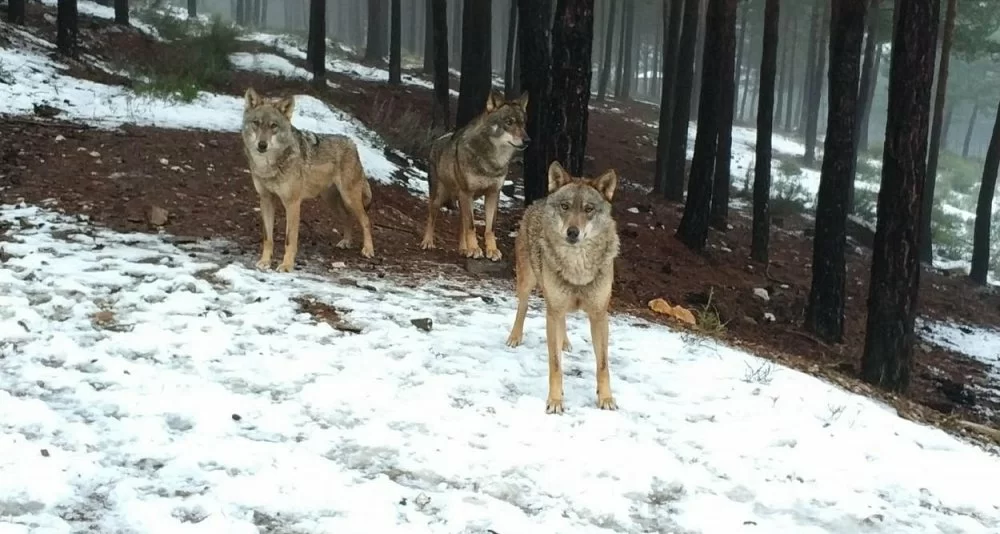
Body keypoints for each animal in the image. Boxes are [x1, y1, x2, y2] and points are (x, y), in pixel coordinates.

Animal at [240, 88, 374, 274]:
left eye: (273, 126)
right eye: (256, 123)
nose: (262, 145)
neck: (268, 166)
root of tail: (353, 144)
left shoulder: (293, 203)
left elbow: (290, 240)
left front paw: (287, 266)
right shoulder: (266, 200)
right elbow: (268, 238)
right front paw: (265, 261)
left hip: (350, 198)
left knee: (366, 220)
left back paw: (368, 249)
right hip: (331, 202)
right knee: (347, 218)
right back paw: (346, 242)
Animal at [418, 89, 532, 262]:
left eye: (523, 123)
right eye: (509, 122)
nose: (527, 140)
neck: (493, 161)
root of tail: (438, 139)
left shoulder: (492, 194)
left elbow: (489, 228)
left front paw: (491, 250)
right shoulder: (467, 193)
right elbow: (471, 226)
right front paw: (474, 249)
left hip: (464, 199)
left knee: (462, 224)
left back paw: (463, 249)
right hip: (440, 197)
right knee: (432, 216)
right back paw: (428, 242)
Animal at [504, 161, 620, 416]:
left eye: (588, 209)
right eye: (565, 207)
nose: (572, 232)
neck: (577, 268)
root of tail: (538, 201)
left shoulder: (599, 315)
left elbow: (603, 365)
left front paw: (606, 398)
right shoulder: (554, 311)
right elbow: (555, 364)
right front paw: (555, 401)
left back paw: (565, 342)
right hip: (528, 283)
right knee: (522, 308)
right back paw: (515, 337)